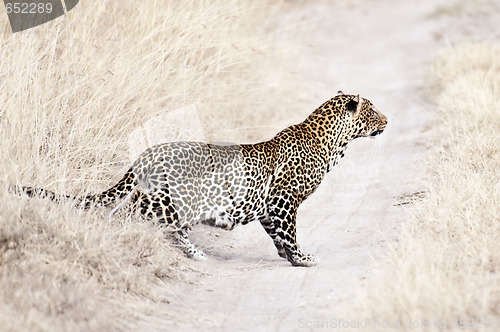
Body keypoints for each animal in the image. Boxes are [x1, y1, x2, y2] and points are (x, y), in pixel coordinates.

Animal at [17, 91, 386, 268]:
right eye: (372, 111)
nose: (387, 120)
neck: (331, 142)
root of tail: (147, 153)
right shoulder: (284, 200)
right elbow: (290, 232)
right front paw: (302, 258)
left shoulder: (268, 206)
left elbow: (277, 235)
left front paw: (287, 256)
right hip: (174, 201)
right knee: (134, 215)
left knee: (151, 219)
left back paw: (192, 252)